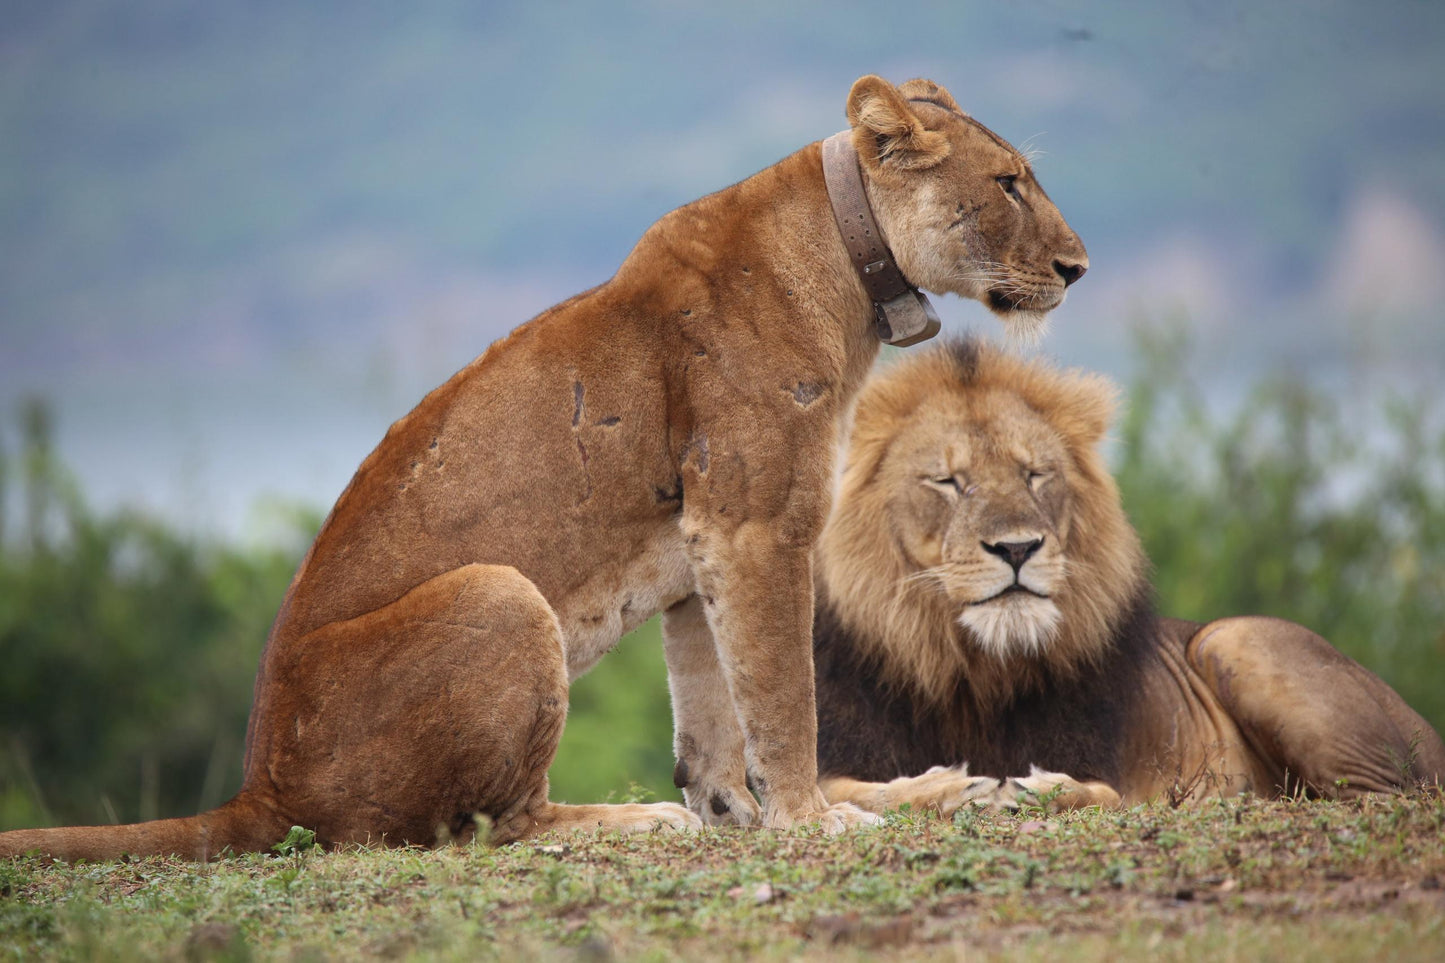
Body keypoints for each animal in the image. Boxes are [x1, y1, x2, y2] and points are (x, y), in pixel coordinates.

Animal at [0, 77, 1090, 861]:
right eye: (1008, 183)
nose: (1078, 268)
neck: (846, 264)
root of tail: (256, 790)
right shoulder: (754, 522)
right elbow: (782, 693)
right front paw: (811, 818)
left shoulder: (698, 553)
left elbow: (714, 711)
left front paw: (743, 811)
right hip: (498, 591)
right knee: (485, 823)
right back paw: (629, 819)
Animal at [810, 339, 1445, 815]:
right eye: (947, 482)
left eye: (1035, 474)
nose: (1017, 548)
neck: (973, 673)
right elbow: (844, 790)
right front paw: (946, 787)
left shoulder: (1114, 770)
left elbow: (1106, 795)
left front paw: (1039, 789)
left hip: (1233, 638)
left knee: (1383, 796)